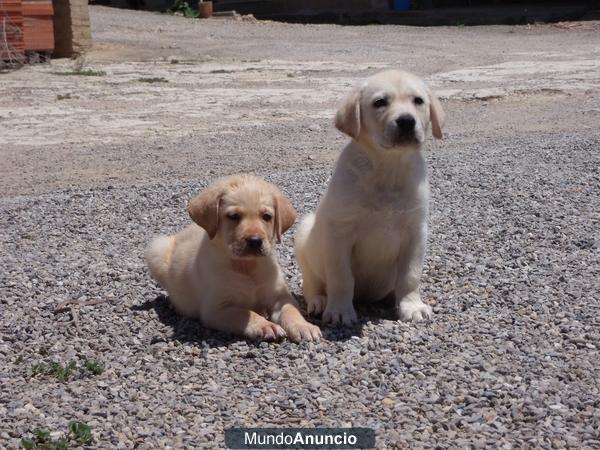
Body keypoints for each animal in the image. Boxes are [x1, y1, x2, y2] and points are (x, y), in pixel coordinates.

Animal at [146, 174, 322, 342]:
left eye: (267, 216)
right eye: (233, 216)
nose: (255, 241)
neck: (246, 266)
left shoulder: (280, 296)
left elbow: (290, 310)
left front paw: (303, 326)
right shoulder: (216, 309)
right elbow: (245, 313)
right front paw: (265, 326)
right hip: (156, 248)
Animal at [296, 71, 446, 326]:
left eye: (418, 101)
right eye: (380, 102)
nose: (406, 121)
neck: (388, 169)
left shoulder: (415, 231)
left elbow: (410, 275)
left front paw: (411, 306)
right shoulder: (339, 231)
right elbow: (341, 278)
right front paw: (340, 310)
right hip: (304, 235)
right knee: (311, 283)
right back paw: (319, 301)